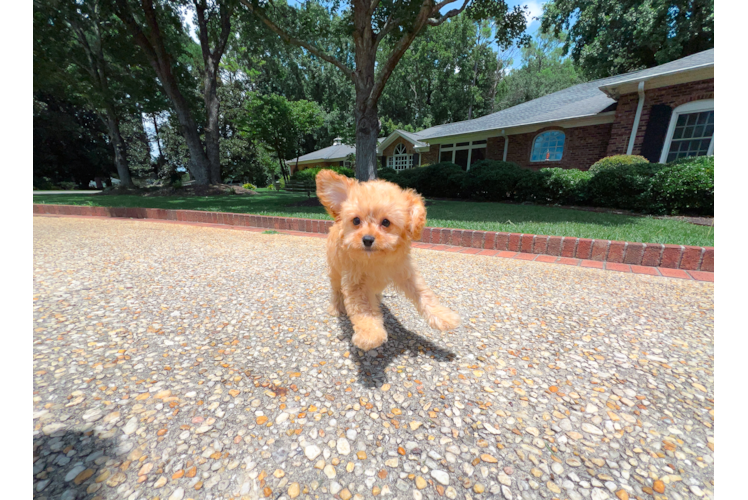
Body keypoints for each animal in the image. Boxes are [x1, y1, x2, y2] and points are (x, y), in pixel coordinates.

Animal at [314, 171, 458, 352]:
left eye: (386, 222)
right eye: (356, 221)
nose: (367, 239)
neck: (376, 259)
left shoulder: (406, 273)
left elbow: (424, 294)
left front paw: (443, 316)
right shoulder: (355, 282)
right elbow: (363, 308)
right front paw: (370, 335)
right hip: (335, 269)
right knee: (336, 290)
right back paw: (336, 307)